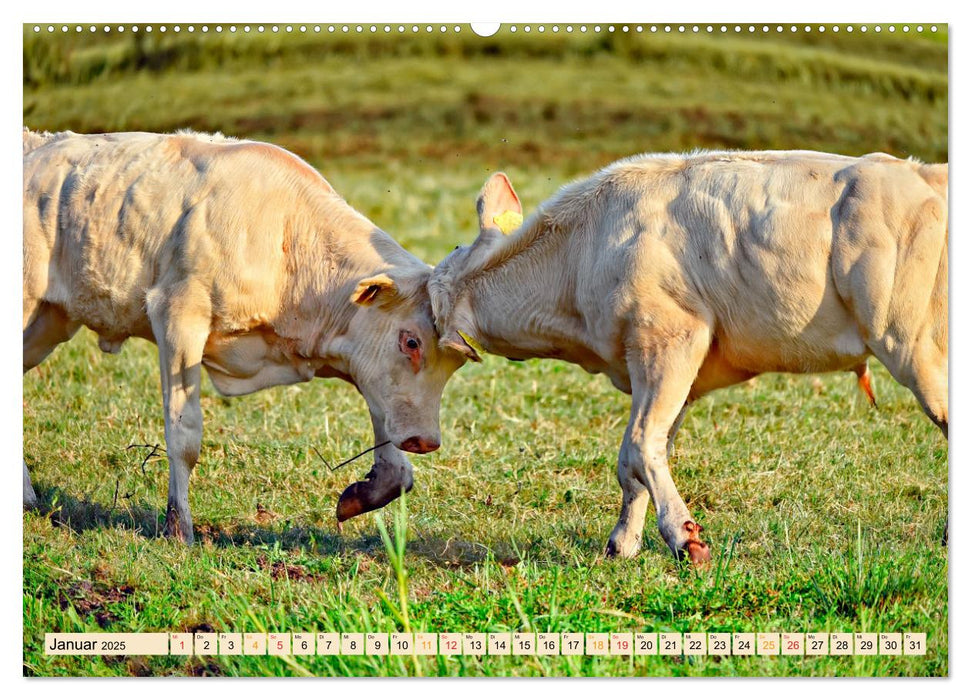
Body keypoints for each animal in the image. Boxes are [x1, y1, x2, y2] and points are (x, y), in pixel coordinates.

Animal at [19, 129, 468, 540]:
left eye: (455, 362)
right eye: (411, 342)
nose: (426, 441)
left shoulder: (363, 365)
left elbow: (394, 449)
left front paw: (364, 492)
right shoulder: (177, 314)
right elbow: (183, 433)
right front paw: (178, 528)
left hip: (48, 323)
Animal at [430, 149, 948, 564]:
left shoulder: (671, 337)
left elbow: (640, 445)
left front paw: (685, 539)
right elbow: (637, 456)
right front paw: (622, 543)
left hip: (911, 343)